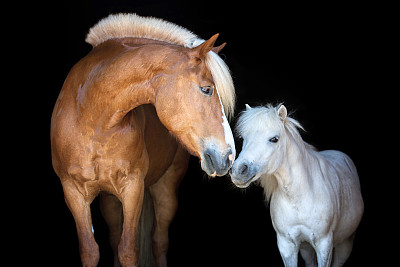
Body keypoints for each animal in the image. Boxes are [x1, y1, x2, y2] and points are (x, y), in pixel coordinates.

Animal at [51, 14, 236, 267]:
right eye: (206, 89)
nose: (228, 156)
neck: (91, 117)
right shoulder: (72, 190)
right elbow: (90, 250)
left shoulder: (133, 187)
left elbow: (129, 250)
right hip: (109, 200)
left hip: (165, 189)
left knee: (159, 242)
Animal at [230, 103, 364, 266]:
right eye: (243, 138)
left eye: (274, 139)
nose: (238, 171)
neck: (299, 197)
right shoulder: (286, 245)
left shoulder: (324, 244)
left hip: (345, 244)